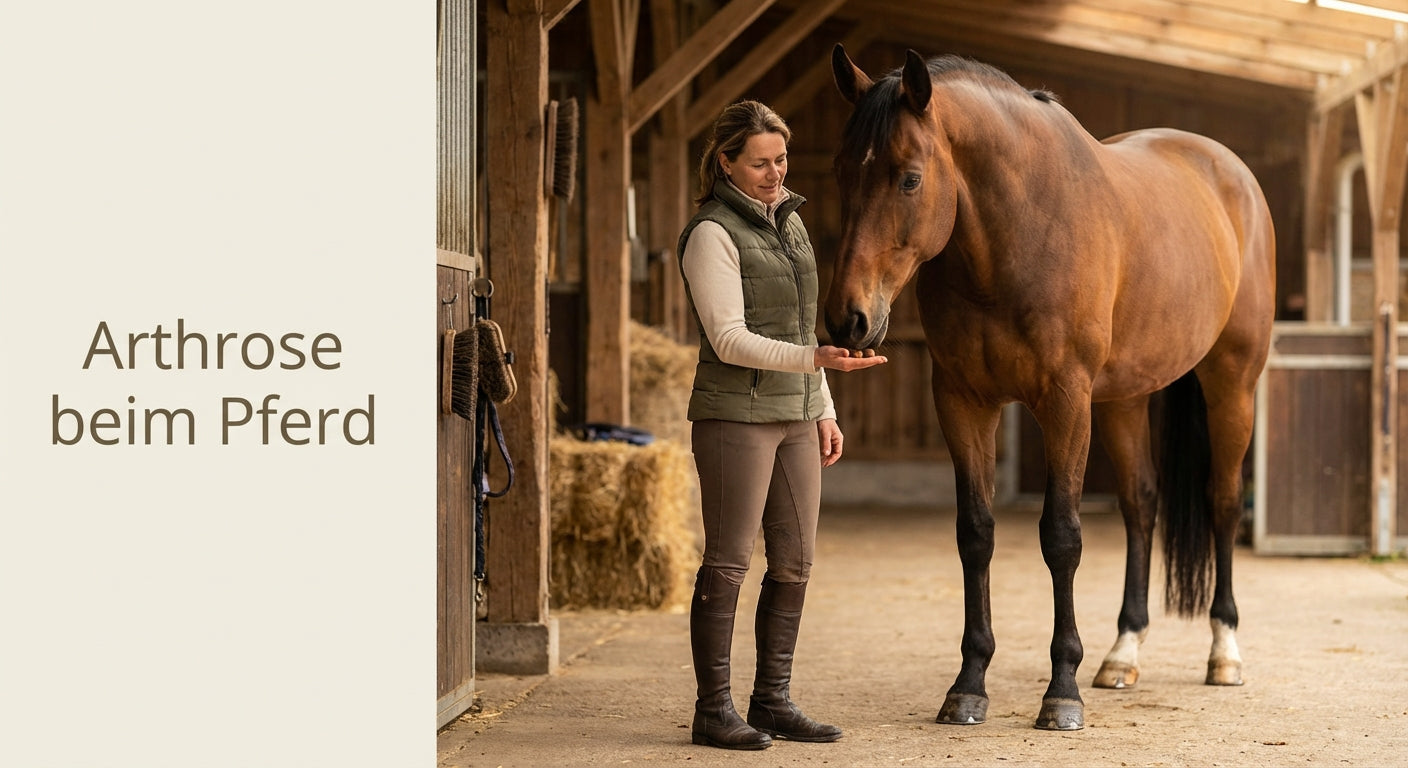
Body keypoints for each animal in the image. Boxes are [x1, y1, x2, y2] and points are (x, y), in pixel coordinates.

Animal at [823, 45, 1275, 731]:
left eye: (909, 179)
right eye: (844, 172)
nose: (847, 319)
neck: (1017, 234)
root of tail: (1231, 172)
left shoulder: (1065, 403)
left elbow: (1061, 537)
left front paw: (1061, 690)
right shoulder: (963, 402)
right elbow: (975, 534)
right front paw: (969, 685)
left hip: (1232, 383)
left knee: (1222, 501)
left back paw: (1224, 652)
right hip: (1125, 399)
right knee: (1141, 504)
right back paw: (1122, 653)